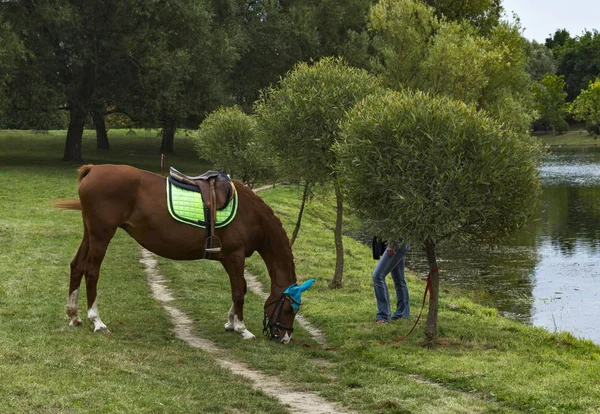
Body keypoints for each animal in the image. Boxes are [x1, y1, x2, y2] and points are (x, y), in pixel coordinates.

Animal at [56, 164, 316, 342]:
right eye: (288, 309)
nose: (284, 338)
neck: (251, 214)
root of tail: (93, 169)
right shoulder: (235, 255)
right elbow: (239, 291)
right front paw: (242, 329)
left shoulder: (229, 258)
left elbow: (241, 288)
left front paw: (230, 323)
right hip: (102, 235)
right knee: (92, 272)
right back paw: (97, 321)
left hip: (90, 234)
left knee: (77, 266)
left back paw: (74, 315)